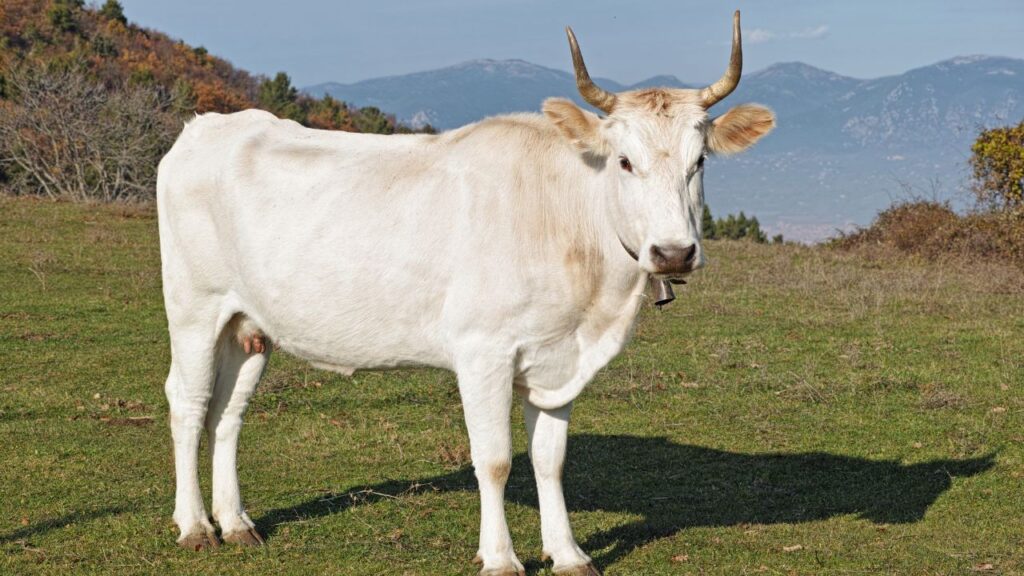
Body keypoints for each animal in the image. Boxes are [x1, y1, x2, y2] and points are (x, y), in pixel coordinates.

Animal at [157, 11, 774, 575]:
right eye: (625, 161)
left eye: (699, 161)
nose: (673, 253)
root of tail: (208, 126)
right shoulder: (483, 351)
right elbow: (495, 460)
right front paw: (500, 558)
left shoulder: (559, 357)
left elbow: (550, 461)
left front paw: (569, 554)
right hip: (194, 306)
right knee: (188, 401)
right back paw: (195, 527)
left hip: (248, 322)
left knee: (228, 411)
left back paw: (236, 523)